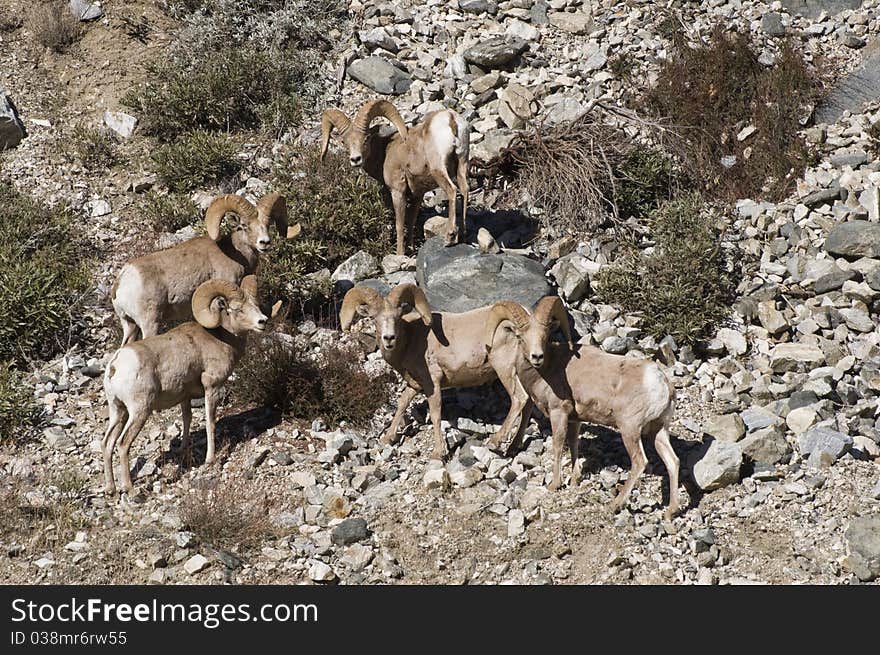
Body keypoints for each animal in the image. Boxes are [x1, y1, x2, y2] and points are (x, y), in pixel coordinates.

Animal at [101, 274, 266, 494]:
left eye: (256, 305)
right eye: (238, 309)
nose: (262, 321)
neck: (223, 338)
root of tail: (115, 366)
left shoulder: (184, 396)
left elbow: (187, 419)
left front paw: (183, 449)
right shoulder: (212, 388)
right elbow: (210, 423)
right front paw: (210, 460)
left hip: (118, 410)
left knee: (107, 443)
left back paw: (111, 488)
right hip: (139, 411)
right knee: (122, 444)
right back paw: (129, 488)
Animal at [111, 192, 290, 346]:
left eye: (268, 224)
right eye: (245, 225)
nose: (264, 242)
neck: (235, 254)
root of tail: (122, 281)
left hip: (130, 325)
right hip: (150, 323)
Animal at [316, 98, 468, 255]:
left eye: (366, 139)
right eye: (344, 142)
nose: (355, 159)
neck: (385, 152)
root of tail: (451, 119)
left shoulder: (397, 192)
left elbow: (399, 225)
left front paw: (400, 254)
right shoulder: (418, 194)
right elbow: (411, 221)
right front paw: (410, 249)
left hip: (438, 169)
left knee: (452, 190)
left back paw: (449, 237)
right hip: (462, 164)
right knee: (464, 190)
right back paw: (463, 235)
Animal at [340, 286, 532, 462]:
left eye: (397, 317)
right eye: (374, 318)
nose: (389, 338)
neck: (410, 341)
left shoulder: (432, 382)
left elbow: (435, 414)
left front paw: (438, 453)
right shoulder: (415, 385)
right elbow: (402, 404)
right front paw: (388, 438)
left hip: (504, 369)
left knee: (519, 399)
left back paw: (494, 442)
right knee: (528, 404)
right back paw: (513, 447)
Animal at [482, 298, 680, 516]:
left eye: (545, 335)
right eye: (521, 337)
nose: (537, 357)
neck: (548, 369)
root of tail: (662, 384)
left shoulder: (558, 413)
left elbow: (558, 446)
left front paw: (555, 485)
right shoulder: (575, 419)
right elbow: (573, 444)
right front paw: (575, 480)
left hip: (629, 429)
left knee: (639, 462)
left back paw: (615, 504)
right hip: (658, 431)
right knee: (673, 462)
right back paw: (671, 511)